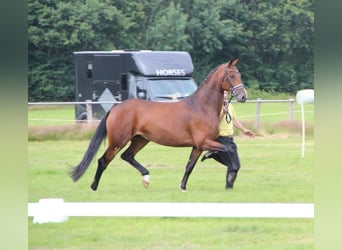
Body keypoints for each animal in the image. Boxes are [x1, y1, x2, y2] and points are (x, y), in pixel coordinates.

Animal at [69, 58, 247, 191]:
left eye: (239, 74)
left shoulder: (198, 146)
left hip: (141, 139)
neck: (202, 106)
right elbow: (228, 149)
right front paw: (228, 172)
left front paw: (182, 187)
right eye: (231, 75)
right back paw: (94, 187)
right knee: (103, 160)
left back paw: (146, 177)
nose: (243, 96)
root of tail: (116, 108)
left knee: (127, 156)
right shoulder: (204, 142)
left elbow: (190, 166)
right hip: (118, 141)